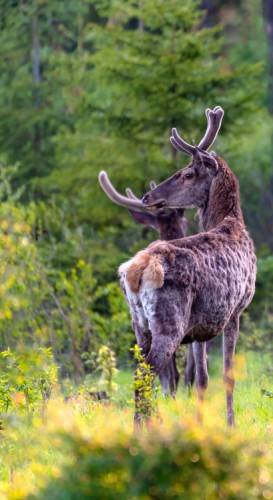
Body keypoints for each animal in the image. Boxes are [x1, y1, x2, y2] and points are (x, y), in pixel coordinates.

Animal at [118, 105, 255, 426]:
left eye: (188, 173)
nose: (147, 196)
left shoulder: (200, 327)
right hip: (170, 322)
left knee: (143, 376)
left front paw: (201, 422)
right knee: (147, 376)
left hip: (139, 326)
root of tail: (133, 272)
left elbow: (202, 378)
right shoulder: (236, 310)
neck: (232, 223)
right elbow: (227, 376)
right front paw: (230, 425)